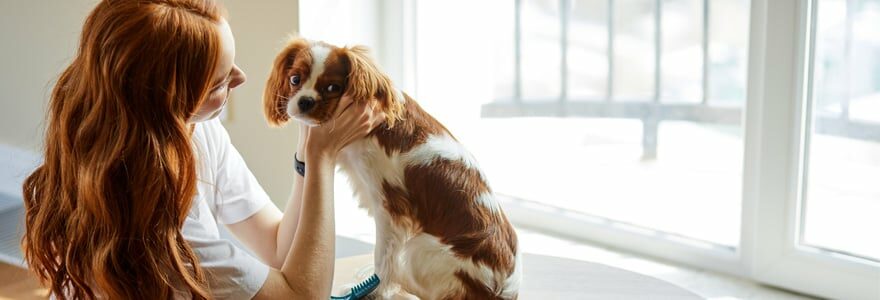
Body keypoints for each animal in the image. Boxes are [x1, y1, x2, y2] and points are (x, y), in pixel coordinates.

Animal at [264, 38, 520, 300]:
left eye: (333, 87)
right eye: (295, 80)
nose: (305, 101)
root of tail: (505, 289)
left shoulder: (390, 208)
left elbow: (384, 258)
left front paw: (374, 291)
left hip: (421, 249)